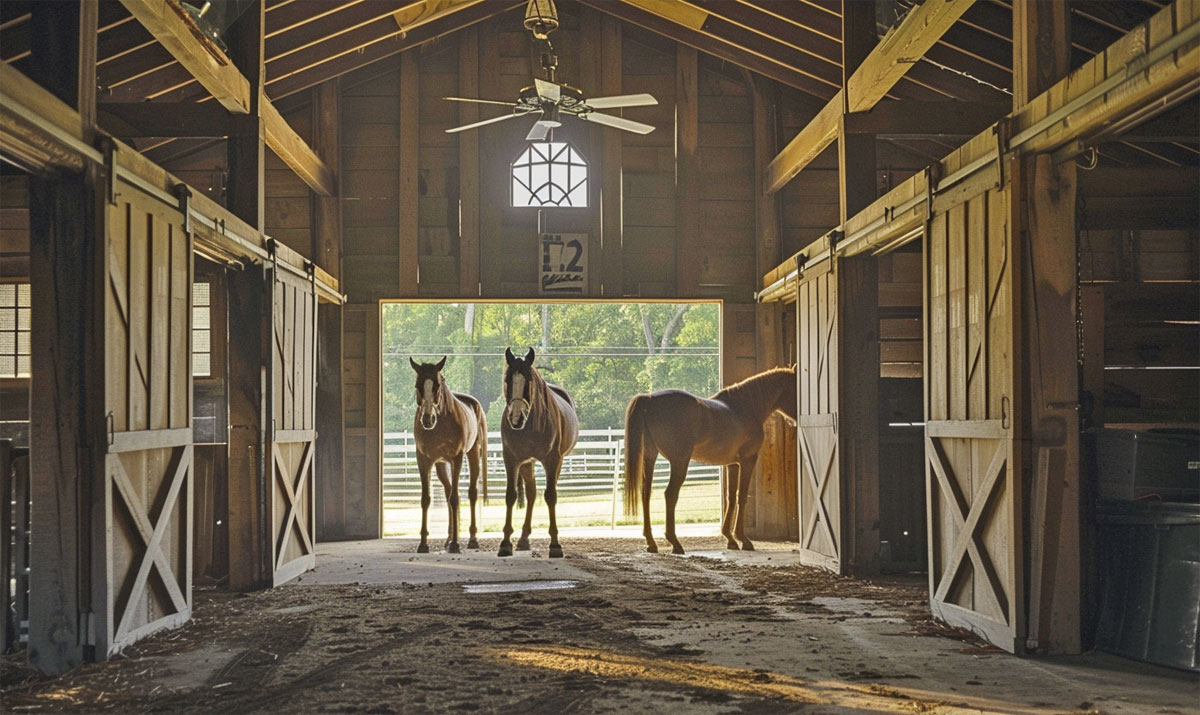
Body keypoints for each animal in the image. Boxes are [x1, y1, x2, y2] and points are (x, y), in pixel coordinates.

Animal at [412, 357, 487, 551]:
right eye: (418, 385)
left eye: (437, 385)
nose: (427, 420)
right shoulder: (424, 460)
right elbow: (426, 499)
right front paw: (423, 543)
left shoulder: (456, 459)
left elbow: (455, 498)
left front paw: (455, 544)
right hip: (440, 465)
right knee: (448, 493)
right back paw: (449, 537)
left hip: (472, 455)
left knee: (471, 493)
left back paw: (471, 539)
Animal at [499, 345, 578, 559]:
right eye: (507, 380)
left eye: (528, 381)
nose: (516, 417)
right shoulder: (512, 460)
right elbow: (510, 495)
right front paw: (505, 543)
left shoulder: (552, 460)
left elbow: (550, 496)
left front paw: (555, 545)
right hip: (527, 463)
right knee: (532, 493)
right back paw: (524, 539)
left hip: (556, 463)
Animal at [619, 364, 796, 556]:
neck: (745, 407)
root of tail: (650, 399)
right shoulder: (748, 460)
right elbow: (741, 496)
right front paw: (743, 539)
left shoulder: (732, 464)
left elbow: (730, 497)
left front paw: (730, 539)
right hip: (679, 461)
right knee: (670, 494)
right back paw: (675, 542)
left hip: (650, 458)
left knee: (646, 494)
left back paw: (651, 542)